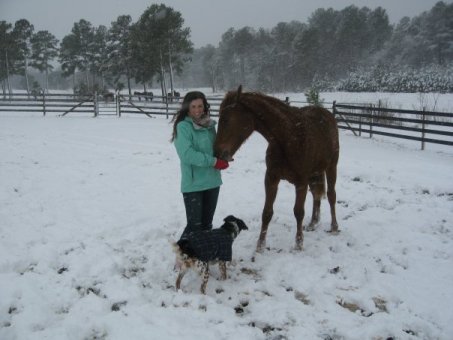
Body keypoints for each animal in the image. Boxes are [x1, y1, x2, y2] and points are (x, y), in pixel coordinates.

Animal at [214, 86, 338, 251]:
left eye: (226, 120)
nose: (216, 152)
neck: (289, 138)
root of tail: (327, 114)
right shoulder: (271, 179)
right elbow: (267, 212)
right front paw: (260, 245)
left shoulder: (301, 183)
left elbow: (298, 212)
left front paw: (299, 243)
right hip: (315, 174)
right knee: (316, 196)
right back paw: (312, 223)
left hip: (331, 167)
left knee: (331, 195)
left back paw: (334, 227)